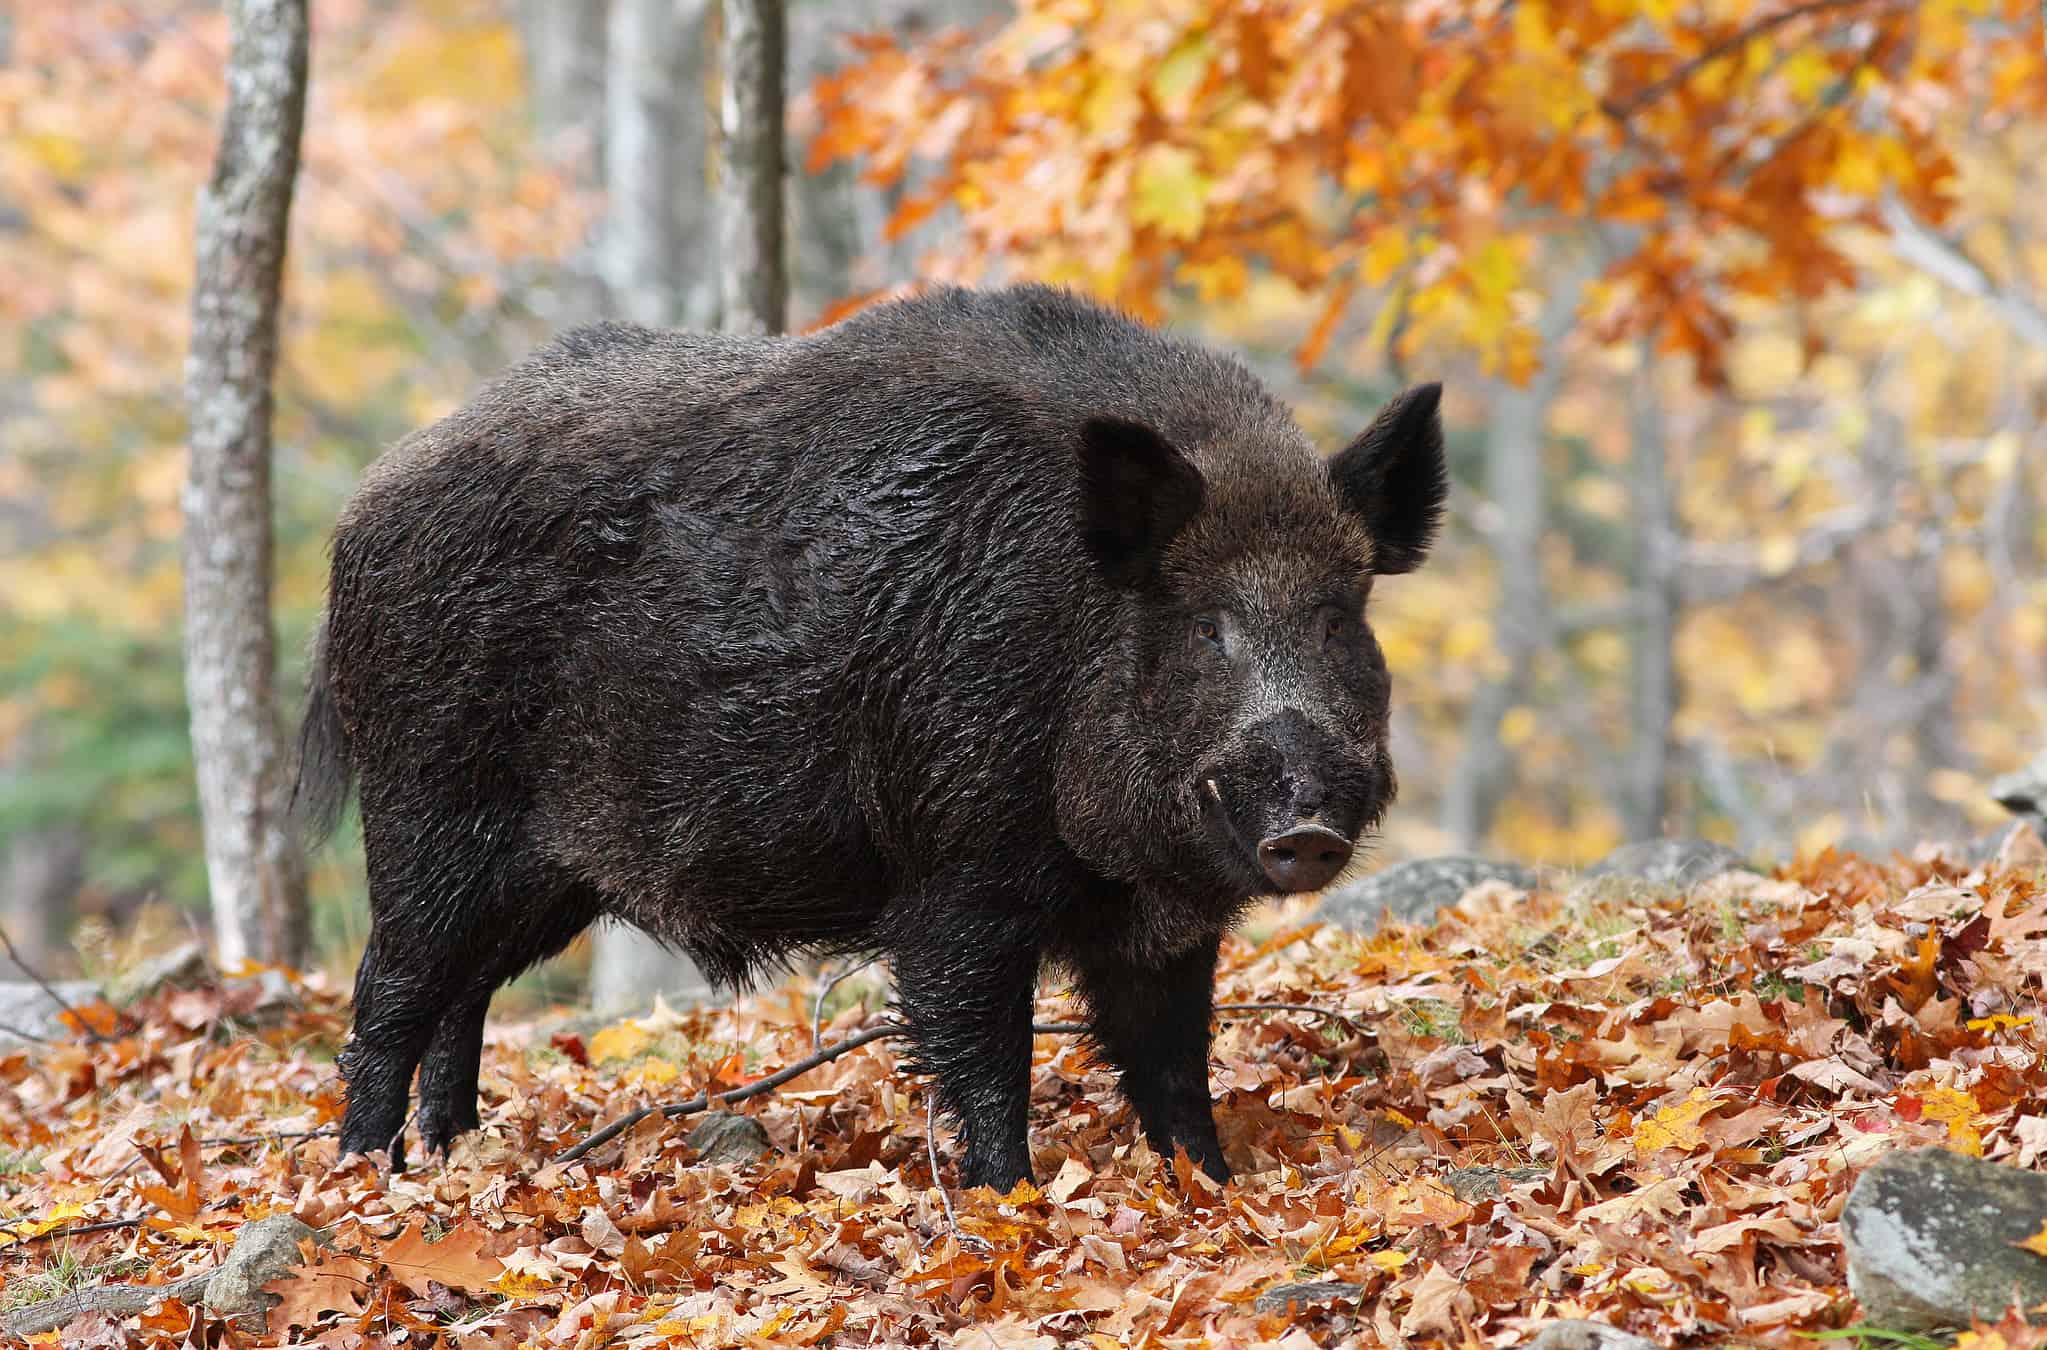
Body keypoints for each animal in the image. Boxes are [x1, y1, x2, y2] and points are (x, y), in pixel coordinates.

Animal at [295, 284, 1447, 1190]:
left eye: (1339, 617)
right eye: (1204, 625)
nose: (1305, 828)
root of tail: (360, 509)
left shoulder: (1159, 922)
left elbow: (1172, 1060)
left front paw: (1208, 1186)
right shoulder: (956, 875)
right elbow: (983, 1052)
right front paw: (1006, 1200)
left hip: (543, 874)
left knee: (464, 991)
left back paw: (453, 1153)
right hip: (428, 806)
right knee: (391, 988)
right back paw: (367, 1175)